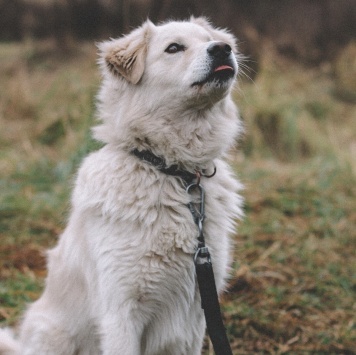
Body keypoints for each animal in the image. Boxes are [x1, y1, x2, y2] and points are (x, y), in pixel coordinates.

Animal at [0, 17, 243, 355]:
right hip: (55, 336)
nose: (223, 49)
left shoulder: (196, 312)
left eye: (210, 40)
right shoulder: (121, 311)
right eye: (174, 48)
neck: (170, 171)